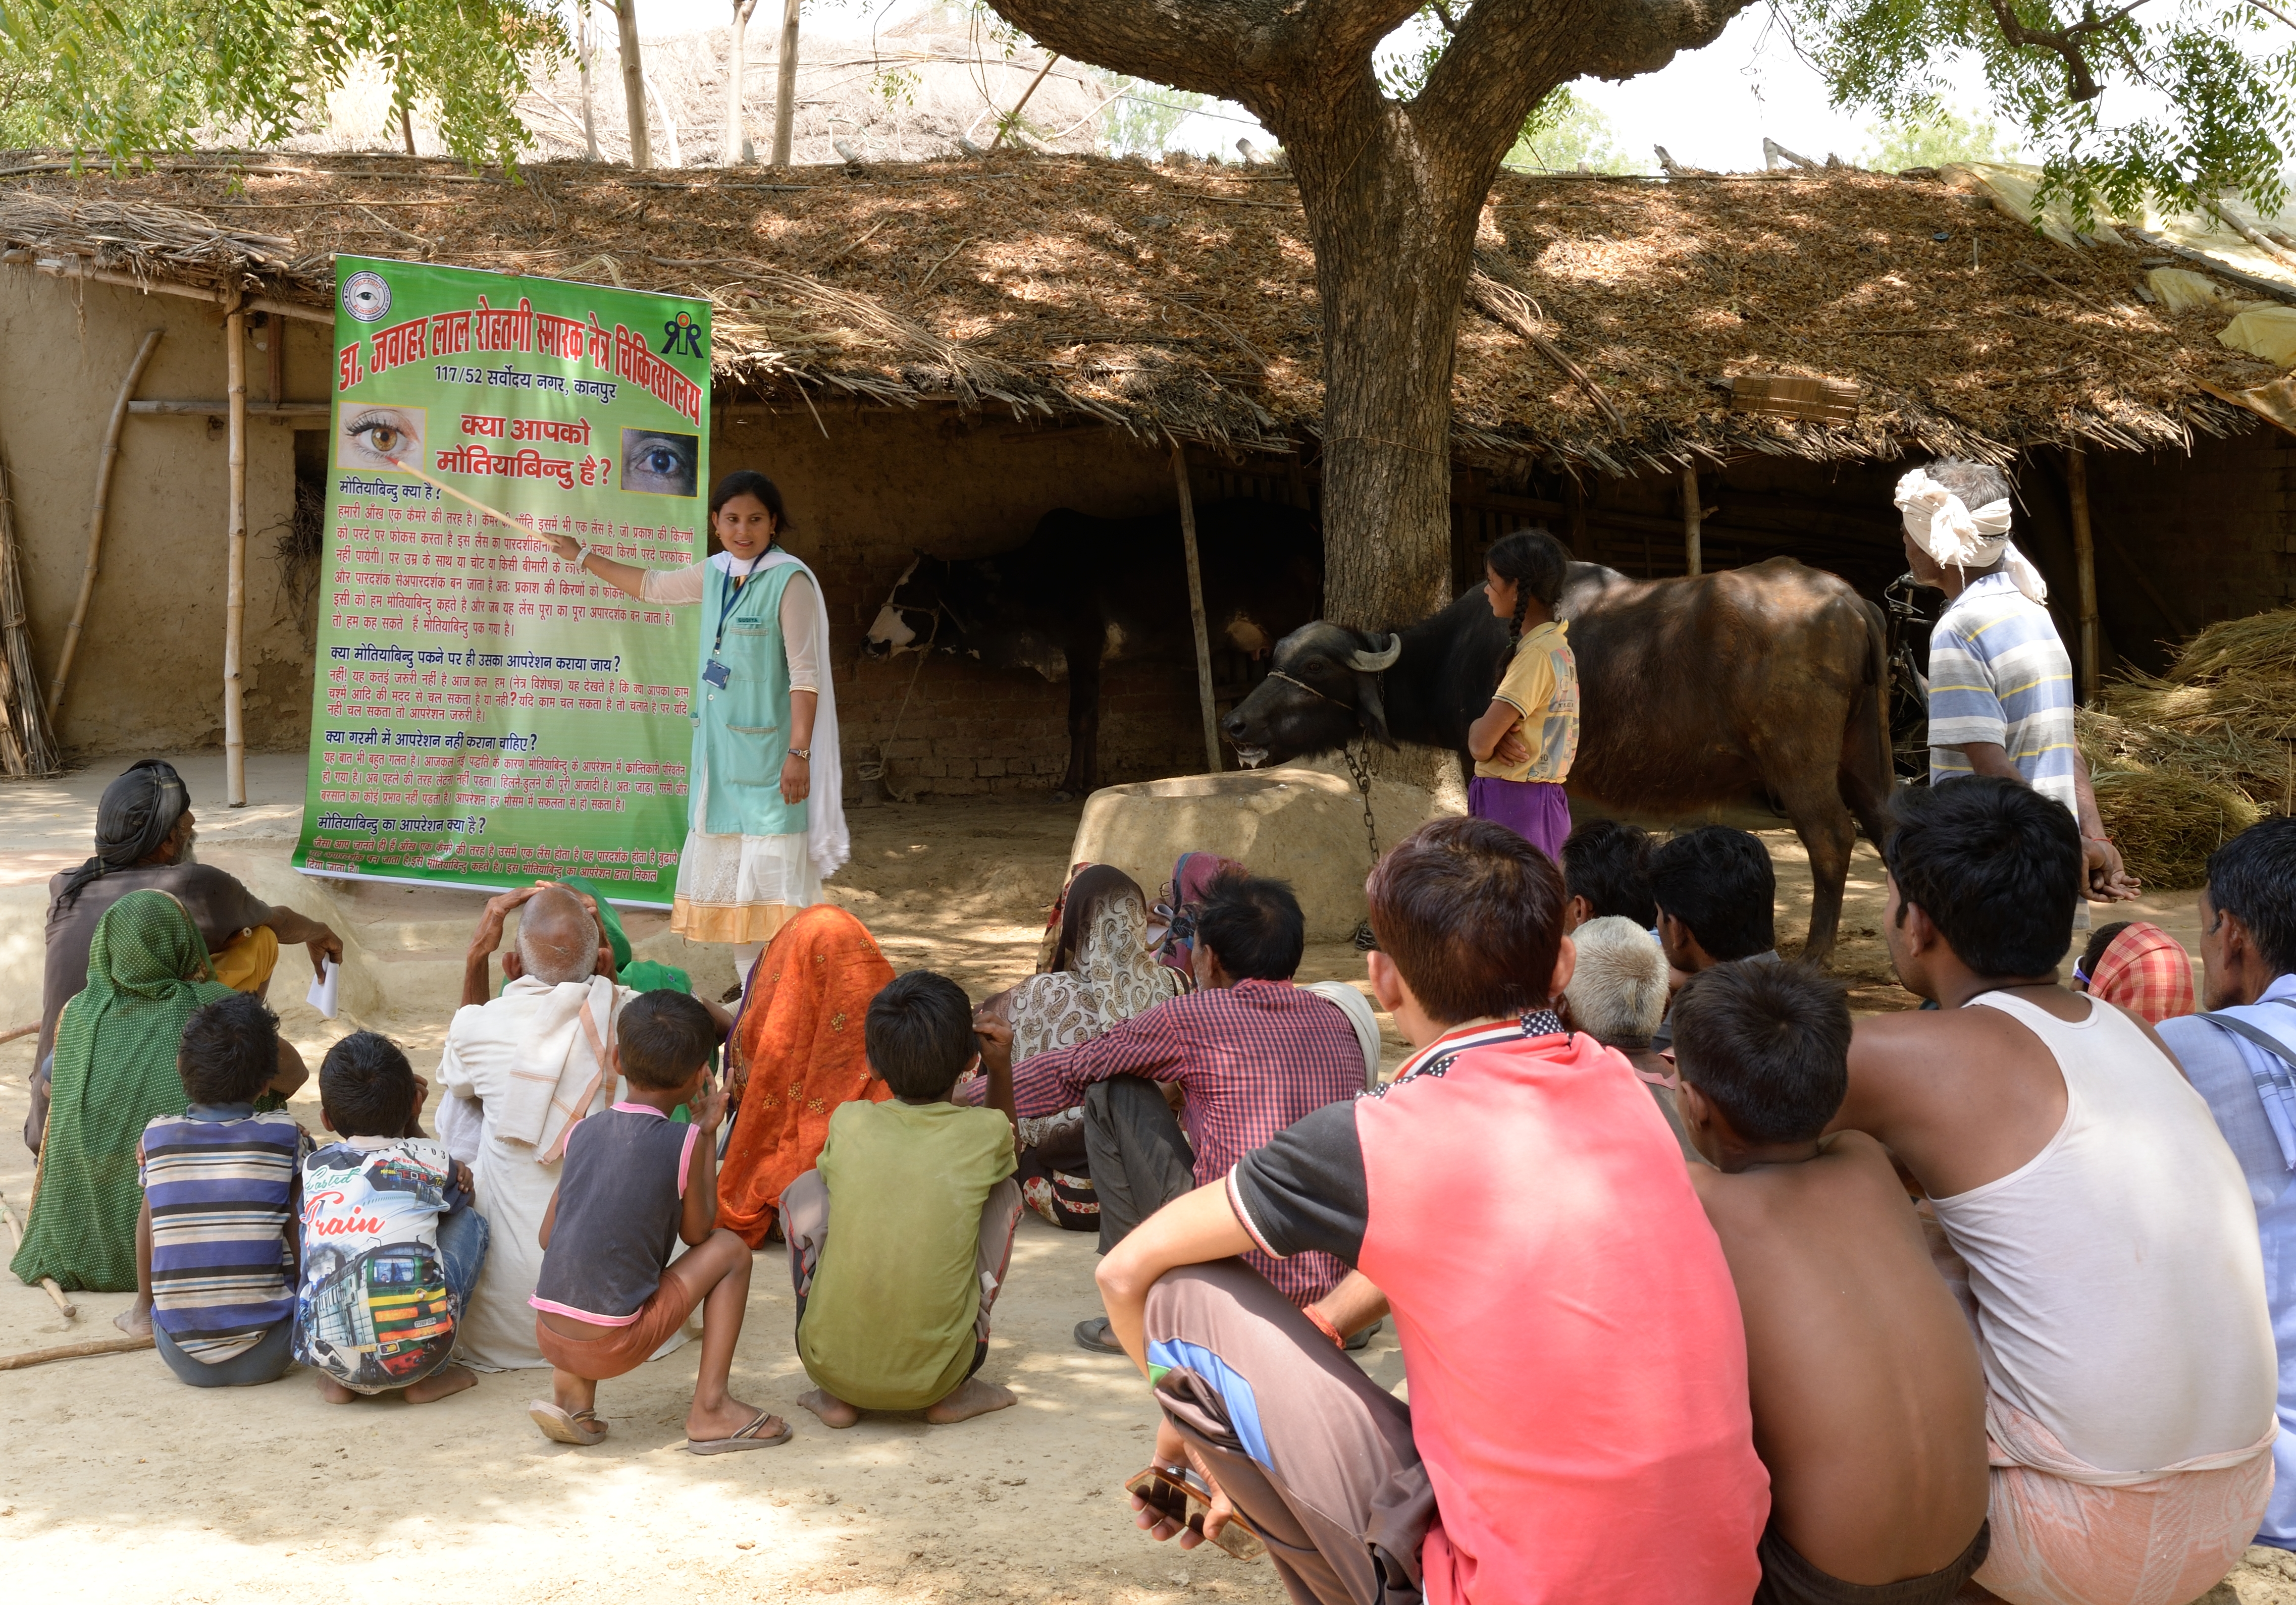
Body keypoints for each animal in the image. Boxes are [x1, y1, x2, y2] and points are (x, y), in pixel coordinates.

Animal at [863, 505, 1331, 799]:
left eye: (909, 591)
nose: (869, 643)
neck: (1027, 580)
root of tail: (1307, 521)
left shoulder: (1081, 647)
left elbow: (1078, 720)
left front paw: (1068, 787)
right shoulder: (1092, 659)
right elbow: (1094, 719)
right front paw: (1087, 782)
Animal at [1230, 558, 1892, 969]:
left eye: (1316, 667)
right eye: (1277, 660)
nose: (1236, 723)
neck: (1454, 653)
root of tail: (1849, 600)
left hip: (1798, 762)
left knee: (1832, 838)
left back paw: (1817, 954)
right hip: (1864, 754)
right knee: (1886, 825)